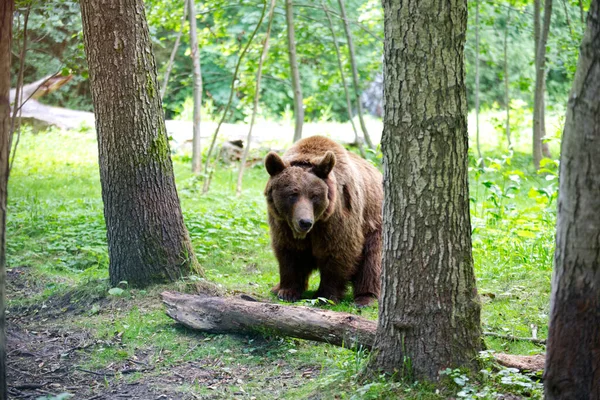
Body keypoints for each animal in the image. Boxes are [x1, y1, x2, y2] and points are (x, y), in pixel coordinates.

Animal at [264, 134, 382, 306]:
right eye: (293, 194)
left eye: (314, 195)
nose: (305, 222)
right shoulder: (283, 223)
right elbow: (289, 252)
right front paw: (287, 291)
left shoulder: (337, 218)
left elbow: (338, 251)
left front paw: (325, 295)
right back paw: (275, 287)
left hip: (374, 223)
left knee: (372, 260)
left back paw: (365, 297)